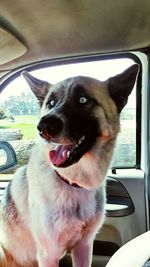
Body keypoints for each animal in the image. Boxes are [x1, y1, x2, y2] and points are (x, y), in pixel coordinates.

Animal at [0, 65, 138, 267]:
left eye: (83, 99)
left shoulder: (84, 246)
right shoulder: (48, 255)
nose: (43, 127)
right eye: (50, 103)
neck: (73, 182)